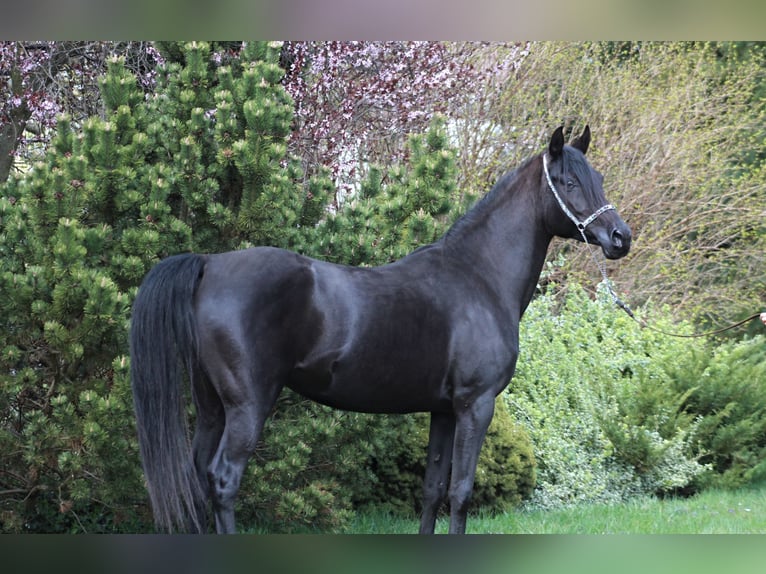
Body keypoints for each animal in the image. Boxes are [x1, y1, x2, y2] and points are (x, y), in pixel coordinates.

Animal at [130, 125, 631, 534]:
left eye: (600, 179)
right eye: (569, 182)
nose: (620, 238)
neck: (478, 276)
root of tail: (209, 264)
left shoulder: (443, 411)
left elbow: (432, 490)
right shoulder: (476, 406)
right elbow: (461, 493)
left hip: (211, 406)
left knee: (197, 478)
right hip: (248, 406)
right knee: (223, 481)